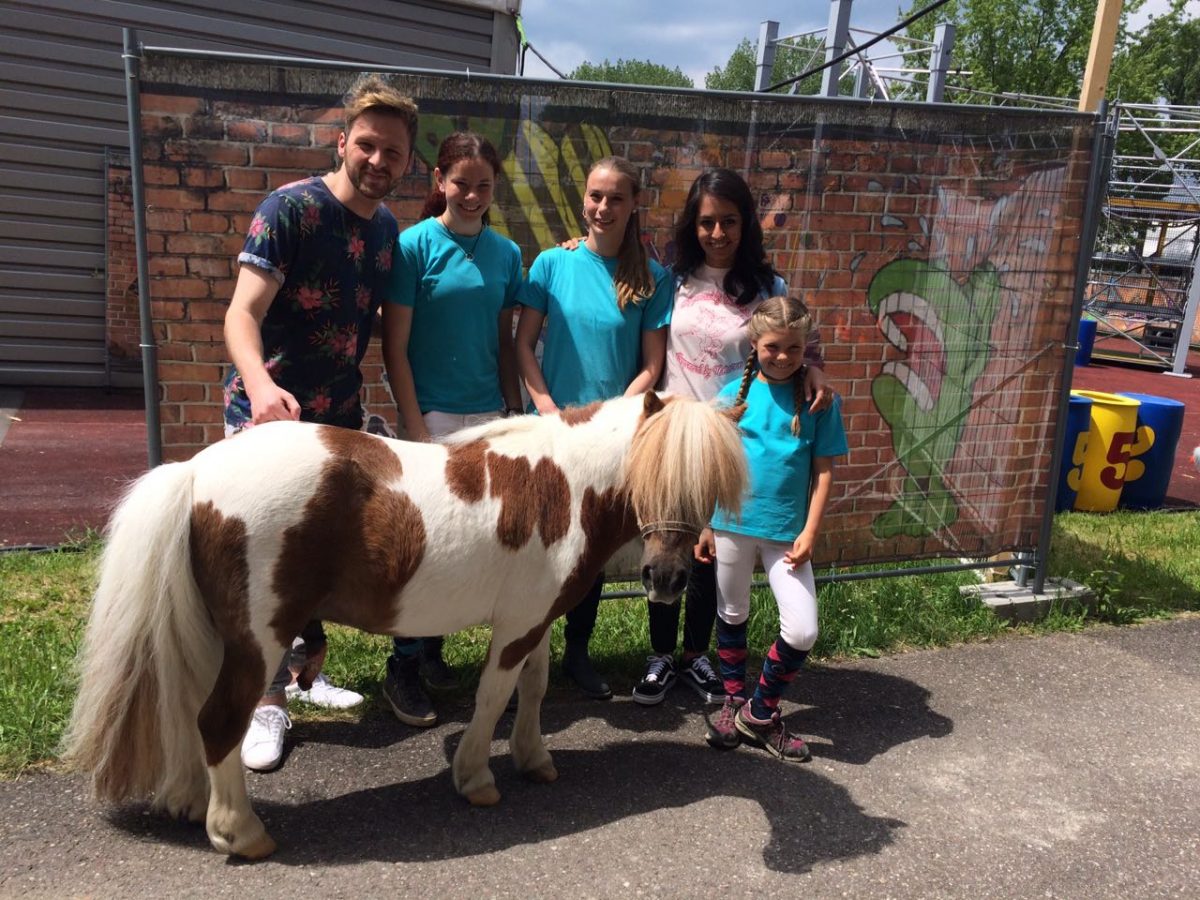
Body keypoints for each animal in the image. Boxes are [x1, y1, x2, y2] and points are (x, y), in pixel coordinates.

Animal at [62, 391, 747, 859]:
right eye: (651, 472)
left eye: (709, 485)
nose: (667, 578)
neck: (564, 486)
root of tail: (197, 470)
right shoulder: (516, 627)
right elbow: (495, 697)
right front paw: (476, 779)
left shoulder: (534, 619)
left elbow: (533, 689)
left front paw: (533, 760)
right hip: (260, 640)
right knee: (218, 721)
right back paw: (242, 833)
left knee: (186, 710)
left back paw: (191, 801)